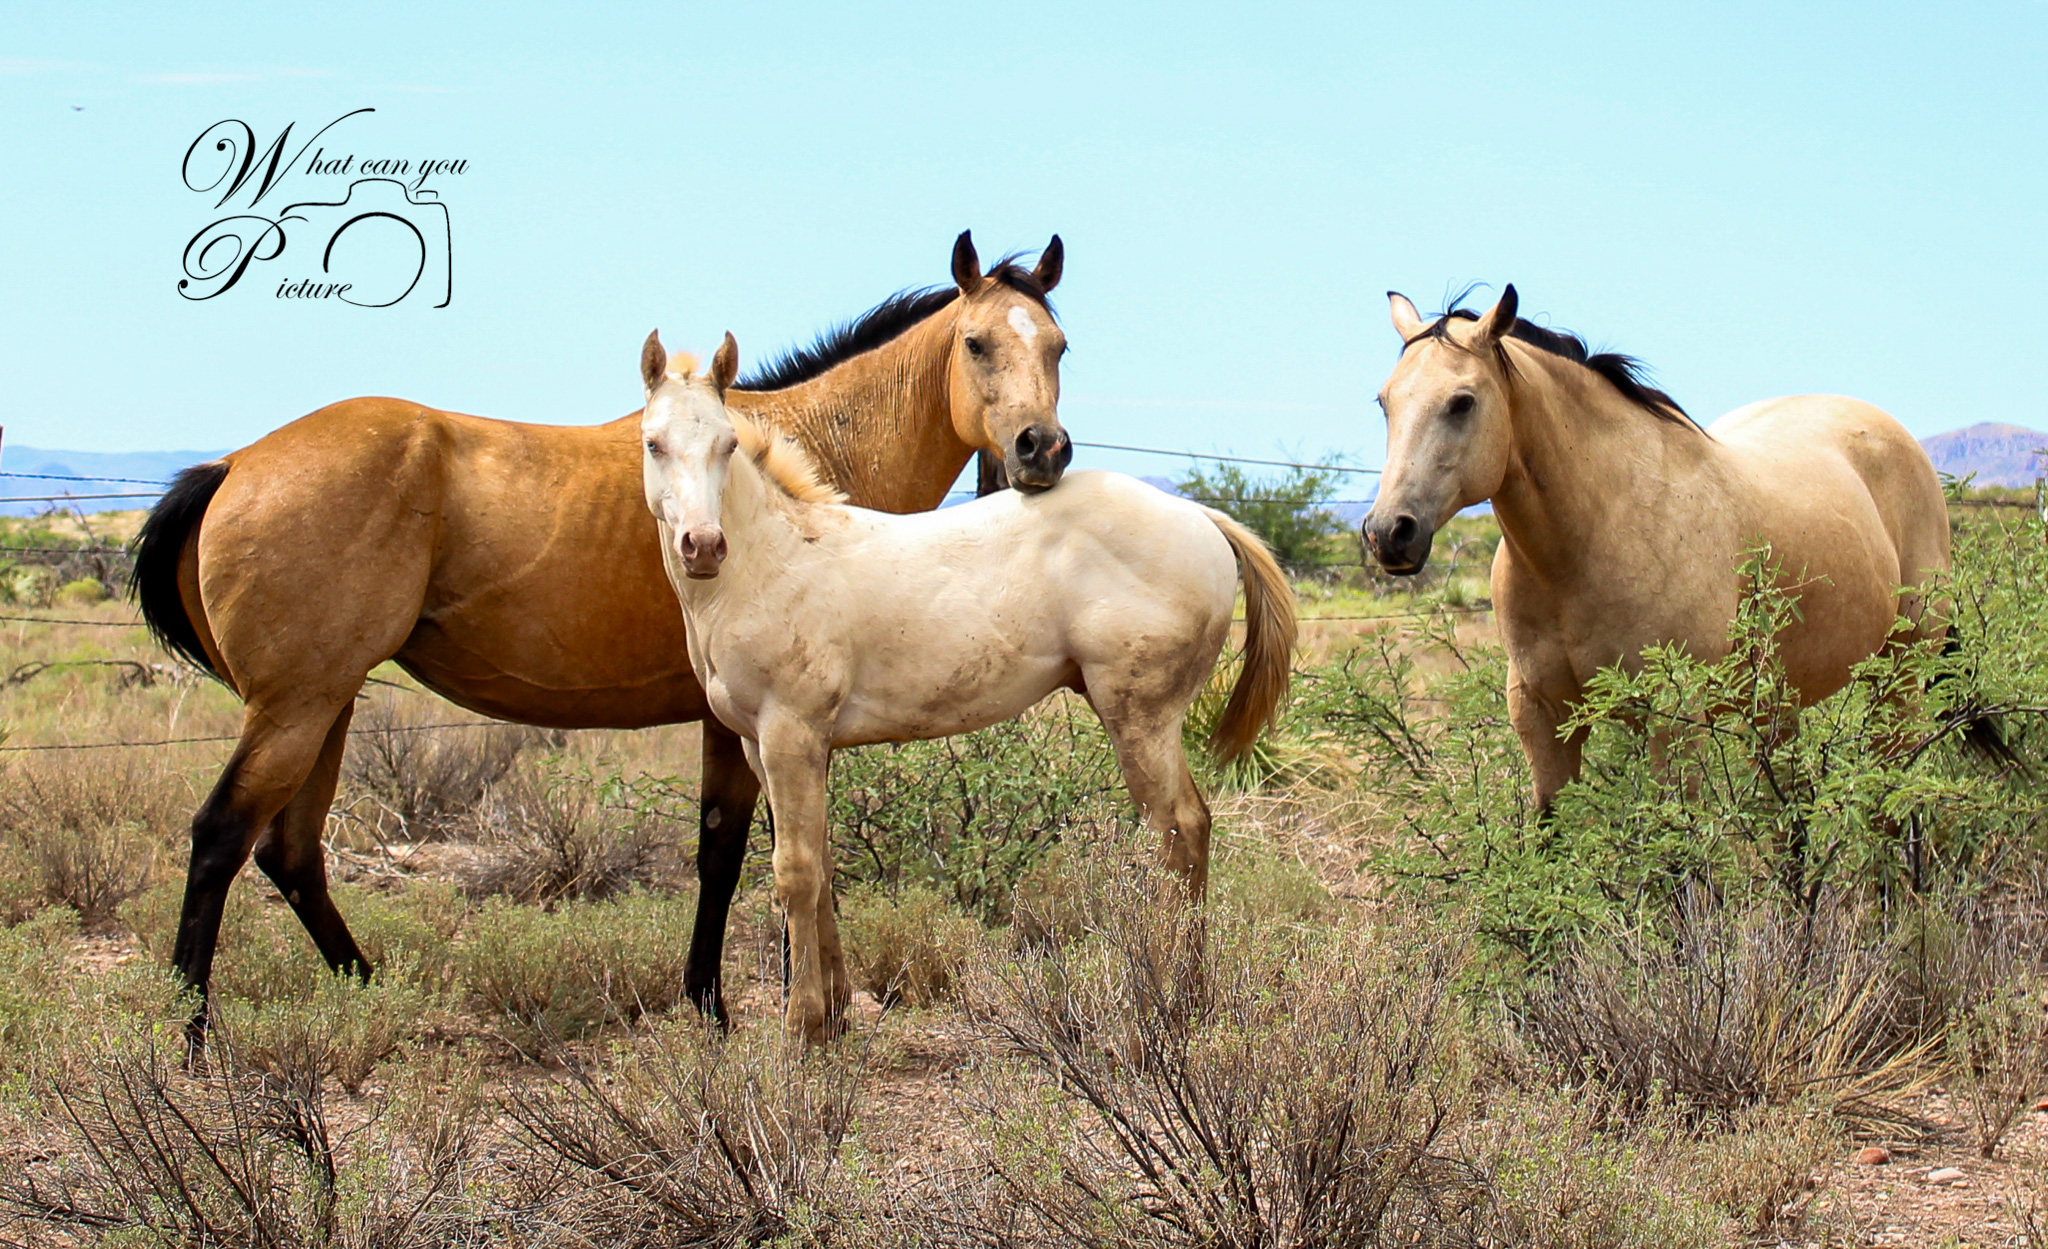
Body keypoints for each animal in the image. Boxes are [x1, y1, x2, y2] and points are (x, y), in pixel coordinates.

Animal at [130, 231, 1070, 1034]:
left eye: (1058, 345)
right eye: (977, 343)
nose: (1042, 449)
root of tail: (235, 465)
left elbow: (744, 848)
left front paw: (725, 1002)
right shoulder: (758, 720)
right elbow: (741, 850)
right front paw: (741, 1007)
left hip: (324, 705)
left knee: (289, 852)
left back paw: (371, 992)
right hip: (297, 708)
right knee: (220, 837)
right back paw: (191, 1038)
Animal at [639, 332, 1297, 1042]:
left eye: (727, 443)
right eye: (653, 443)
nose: (703, 546)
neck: (774, 560)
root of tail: (1199, 515)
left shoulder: (792, 733)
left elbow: (794, 872)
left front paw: (801, 1029)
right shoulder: (765, 745)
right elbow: (821, 863)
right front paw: (836, 1017)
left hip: (1140, 715)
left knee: (1179, 830)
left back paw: (1173, 1000)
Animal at [1360, 285, 1957, 812]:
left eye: (1462, 403)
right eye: (1385, 401)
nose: (1389, 532)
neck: (1589, 540)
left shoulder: (1673, 713)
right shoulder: (1541, 715)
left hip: (1900, 676)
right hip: (1777, 701)